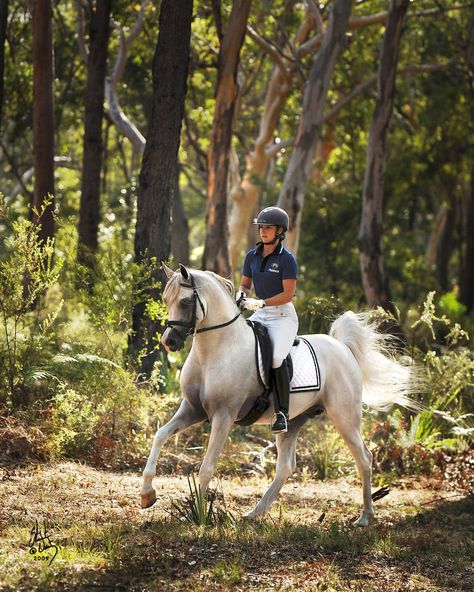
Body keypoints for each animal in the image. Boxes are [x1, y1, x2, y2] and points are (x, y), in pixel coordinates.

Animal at [140, 264, 418, 528]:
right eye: (166, 300)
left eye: (186, 302)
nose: (169, 342)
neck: (215, 351)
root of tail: (343, 348)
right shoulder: (192, 409)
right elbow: (160, 435)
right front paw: (147, 495)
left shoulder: (223, 415)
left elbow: (206, 467)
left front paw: (199, 515)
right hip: (292, 422)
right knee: (286, 466)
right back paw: (254, 513)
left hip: (345, 418)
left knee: (364, 459)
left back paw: (365, 517)